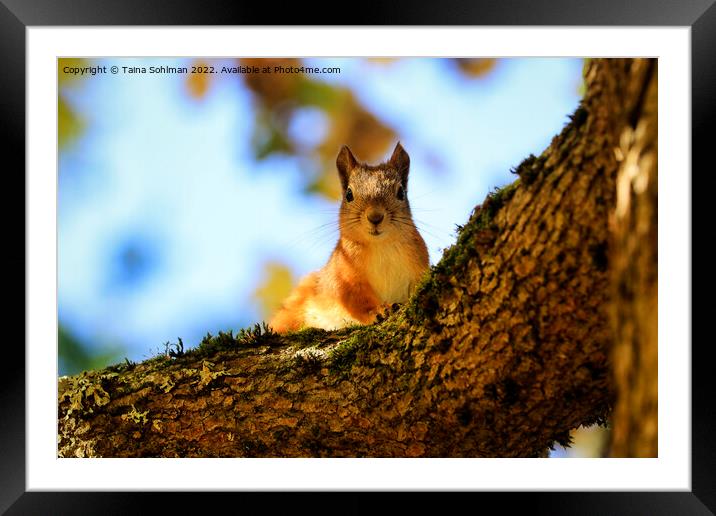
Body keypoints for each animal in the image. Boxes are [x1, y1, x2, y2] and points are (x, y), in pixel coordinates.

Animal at [268, 143, 428, 332]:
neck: (380, 245)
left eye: (401, 192)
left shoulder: (419, 266)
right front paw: (378, 311)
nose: (375, 217)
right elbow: (357, 301)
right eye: (349, 194)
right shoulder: (343, 275)